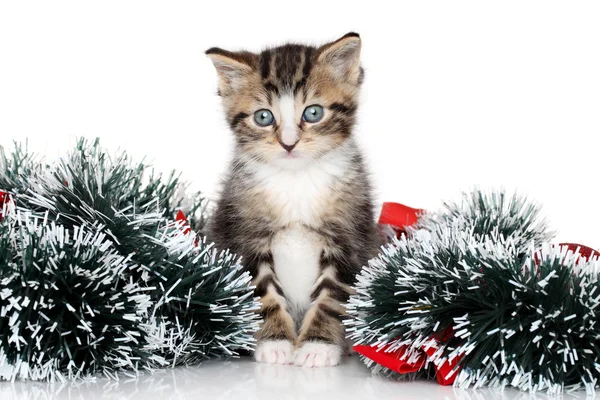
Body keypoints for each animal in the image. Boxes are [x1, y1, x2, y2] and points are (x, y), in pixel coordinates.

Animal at [204, 32, 378, 368]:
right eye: (263, 117)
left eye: (313, 113)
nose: (288, 143)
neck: (296, 179)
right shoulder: (245, 233)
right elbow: (262, 293)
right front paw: (275, 342)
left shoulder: (349, 234)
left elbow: (331, 295)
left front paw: (318, 345)